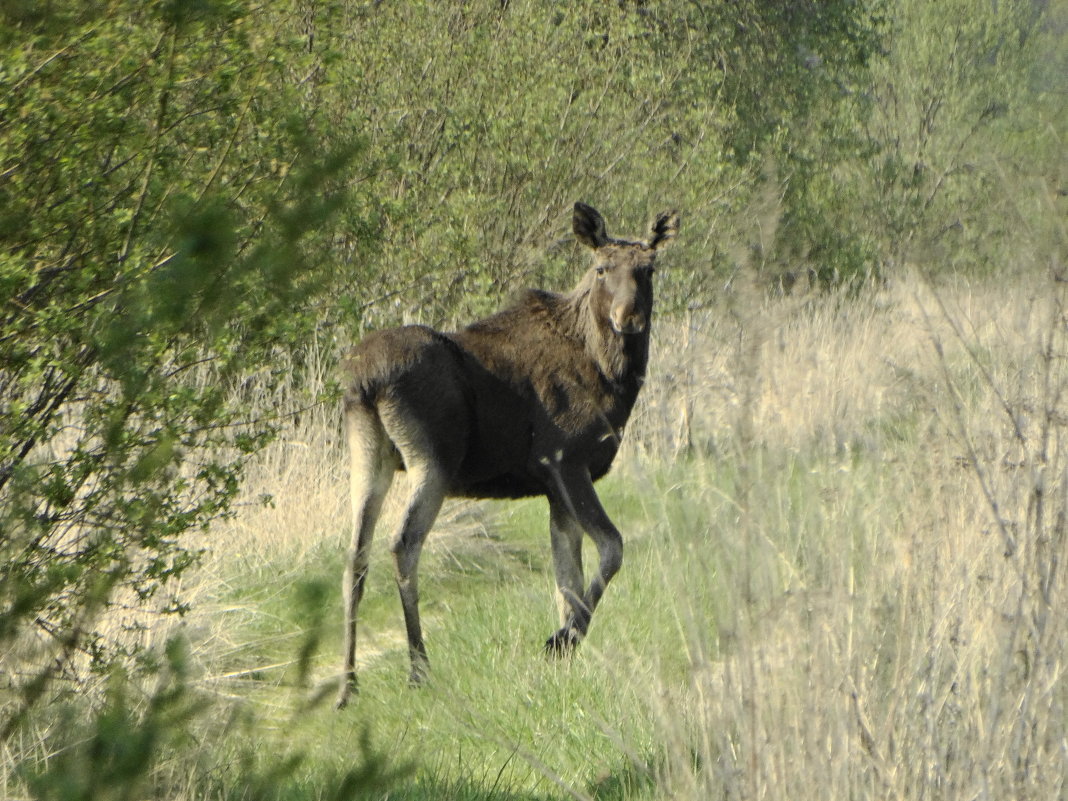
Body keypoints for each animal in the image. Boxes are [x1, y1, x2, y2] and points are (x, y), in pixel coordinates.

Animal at [337, 201, 679, 709]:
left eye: (649, 269)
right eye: (601, 268)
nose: (628, 317)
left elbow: (566, 575)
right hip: (432, 460)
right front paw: (561, 641)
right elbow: (612, 548)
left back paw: (347, 685)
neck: (612, 379)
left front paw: (566, 651)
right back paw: (418, 670)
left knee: (355, 556)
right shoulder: (564, 460)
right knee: (403, 543)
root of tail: (364, 380)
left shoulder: (554, 487)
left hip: (368, 456)